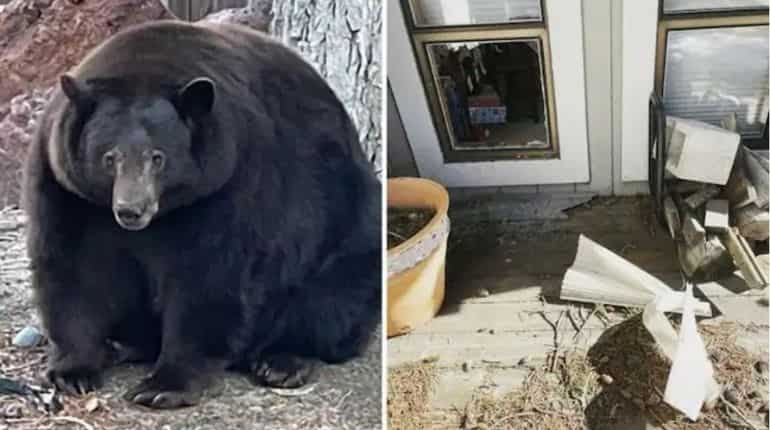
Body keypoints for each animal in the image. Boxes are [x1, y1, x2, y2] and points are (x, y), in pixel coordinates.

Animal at [22, 19, 381, 409]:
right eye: (109, 157)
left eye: (158, 157)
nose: (131, 210)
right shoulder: (67, 188)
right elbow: (73, 266)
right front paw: (73, 371)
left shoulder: (231, 181)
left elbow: (209, 275)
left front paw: (163, 385)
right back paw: (122, 344)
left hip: (345, 228)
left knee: (331, 299)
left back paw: (281, 361)